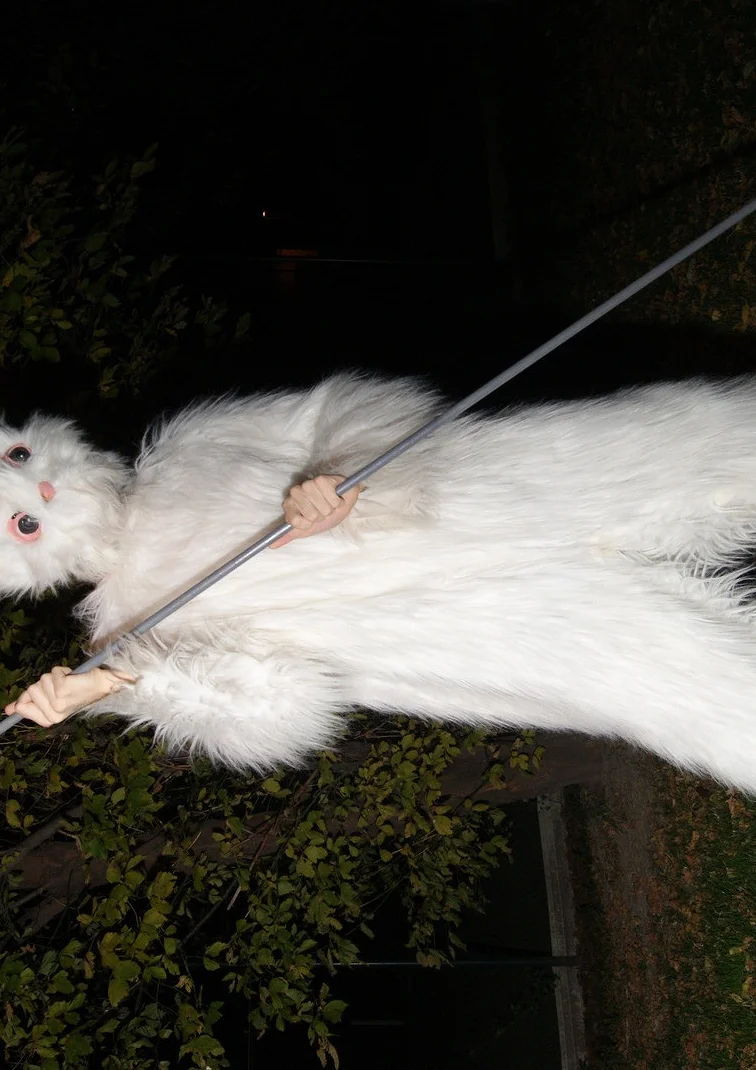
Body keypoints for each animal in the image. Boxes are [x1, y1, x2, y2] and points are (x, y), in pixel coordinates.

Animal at [4, 371, 756, 792]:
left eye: (18, 453)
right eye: (24, 526)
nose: (43, 490)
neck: (127, 534)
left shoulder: (214, 430)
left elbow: (325, 415)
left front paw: (318, 503)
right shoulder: (215, 660)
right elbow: (278, 703)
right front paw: (63, 696)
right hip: (613, 642)